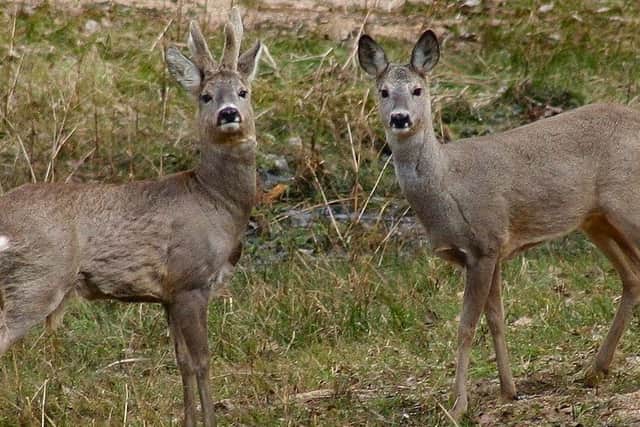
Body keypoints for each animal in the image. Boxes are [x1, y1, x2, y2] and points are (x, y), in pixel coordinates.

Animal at [0, 7, 262, 426]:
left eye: (243, 91)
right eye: (205, 96)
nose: (228, 114)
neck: (215, 201)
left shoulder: (168, 294)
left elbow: (182, 362)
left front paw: (188, 420)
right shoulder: (190, 280)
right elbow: (203, 361)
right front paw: (209, 420)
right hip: (36, 278)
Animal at [358, 30, 640, 418]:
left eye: (417, 89)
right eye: (383, 91)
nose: (400, 118)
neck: (446, 184)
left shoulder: (484, 244)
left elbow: (466, 326)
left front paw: (458, 405)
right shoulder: (489, 252)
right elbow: (496, 318)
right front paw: (508, 390)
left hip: (626, 205)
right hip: (596, 220)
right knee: (633, 277)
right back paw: (595, 370)